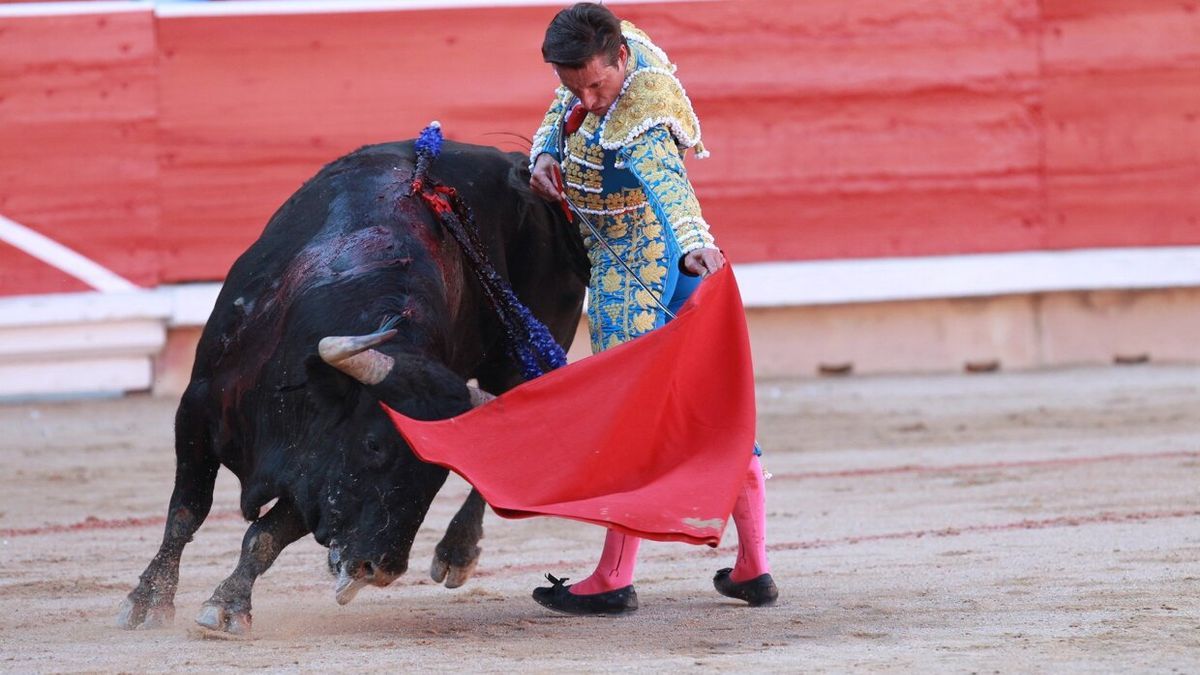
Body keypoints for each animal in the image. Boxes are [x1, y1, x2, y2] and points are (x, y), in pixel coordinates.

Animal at [118, 139, 590, 634]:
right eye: (373, 445)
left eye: (440, 471)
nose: (380, 569)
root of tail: (518, 166)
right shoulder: (197, 410)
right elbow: (186, 512)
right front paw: (148, 601)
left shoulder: (315, 472)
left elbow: (264, 536)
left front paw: (229, 604)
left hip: (527, 356)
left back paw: (455, 553)